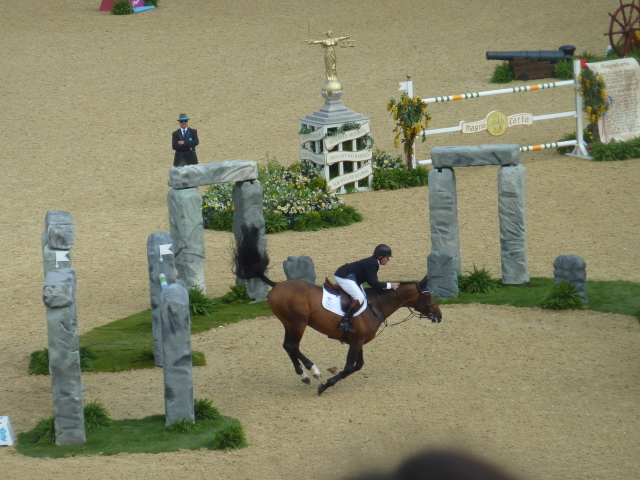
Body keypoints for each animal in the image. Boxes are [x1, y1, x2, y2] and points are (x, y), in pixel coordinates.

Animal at [233, 225, 443, 395]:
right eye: (427, 297)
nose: (439, 316)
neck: (376, 305)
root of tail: (276, 285)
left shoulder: (358, 341)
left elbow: (358, 365)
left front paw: (330, 377)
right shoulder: (356, 341)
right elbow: (350, 367)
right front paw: (326, 384)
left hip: (289, 323)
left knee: (287, 346)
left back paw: (304, 375)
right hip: (298, 323)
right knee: (292, 346)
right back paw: (314, 371)